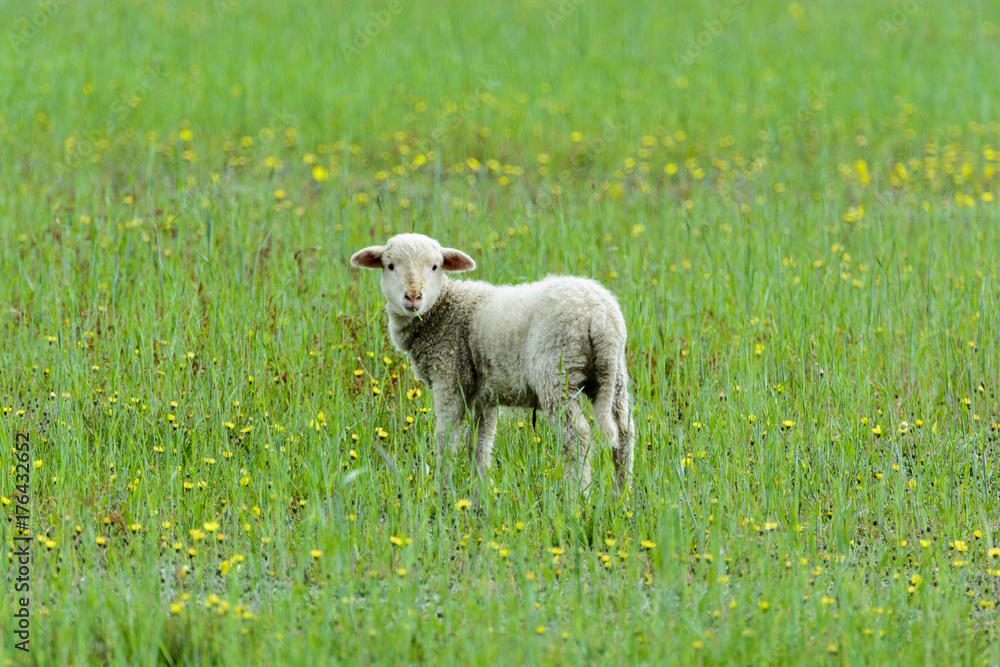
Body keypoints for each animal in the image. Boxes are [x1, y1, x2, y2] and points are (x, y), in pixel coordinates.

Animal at [350, 233, 634, 497]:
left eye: (434, 266)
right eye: (390, 266)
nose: (413, 297)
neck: (443, 311)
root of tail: (600, 316)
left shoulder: (449, 377)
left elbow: (446, 439)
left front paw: (443, 494)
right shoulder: (482, 396)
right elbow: (478, 444)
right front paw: (480, 494)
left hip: (557, 374)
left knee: (578, 437)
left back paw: (577, 498)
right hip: (612, 374)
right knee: (624, 431)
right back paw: (621, 497)